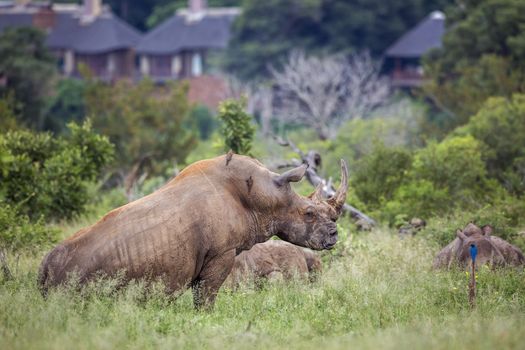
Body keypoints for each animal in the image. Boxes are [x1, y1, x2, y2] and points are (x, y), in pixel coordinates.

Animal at [37, 153, 348, 306]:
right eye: (308, 214)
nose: (334, 236)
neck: (263, 194)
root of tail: (44, 268)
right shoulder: (222, 252)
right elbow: (206, 296)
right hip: (78, 272)